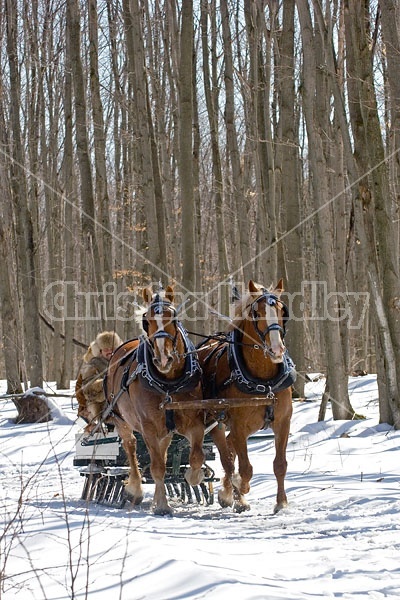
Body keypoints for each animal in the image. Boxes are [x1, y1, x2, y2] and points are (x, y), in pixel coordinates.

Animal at [104, 286, 206, 516]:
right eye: (146, 320)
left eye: (173, 318)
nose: (164, 359)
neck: (168, 383)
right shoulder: (149, 427)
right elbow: (157, 467)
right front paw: (161, 506)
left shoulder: (193, 421)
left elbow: (196, 456)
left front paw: (192, 476)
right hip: (122, 421)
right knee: (131, 447)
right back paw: (135, 489)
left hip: (165, 431)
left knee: (163, 453)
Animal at [198, 278, 296, 512]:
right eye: (257, 313)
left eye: (282, 311)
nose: (277, 349)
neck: (264, 383)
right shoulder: (239, 425)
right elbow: (245, 469)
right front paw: (239, 488)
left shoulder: (283, 422)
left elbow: (280, 465)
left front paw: (281, 503)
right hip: (215, 421)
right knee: (226, 456)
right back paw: (232, 494)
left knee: (229, 448)